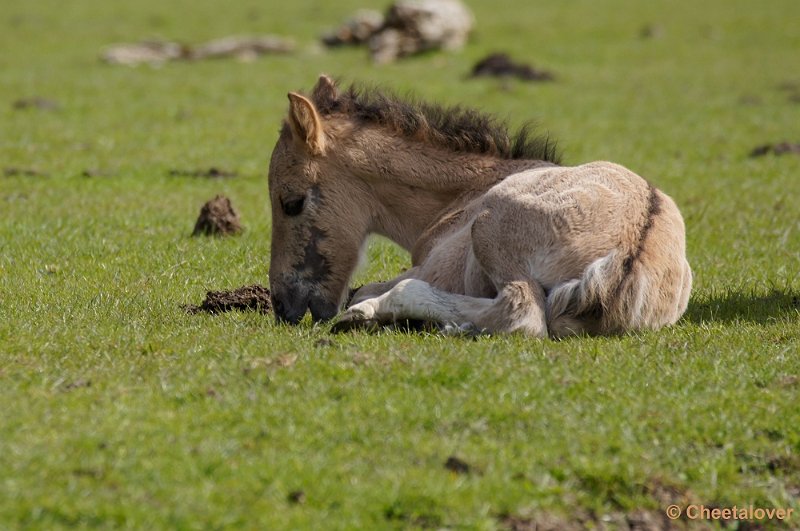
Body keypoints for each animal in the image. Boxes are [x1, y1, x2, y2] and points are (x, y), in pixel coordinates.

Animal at [266, 75, 692, 336]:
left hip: (489, 229)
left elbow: (366, 288)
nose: (283, 306)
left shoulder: (432, 264)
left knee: (521, 316)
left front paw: (365, 309)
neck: (466, 192)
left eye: (292, 202)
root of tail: (631, 252)